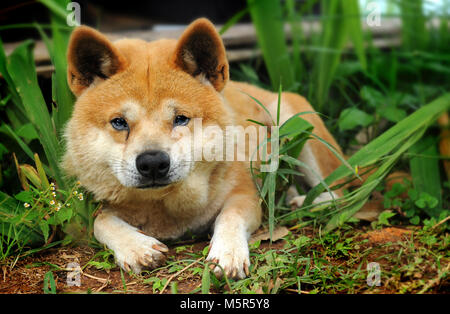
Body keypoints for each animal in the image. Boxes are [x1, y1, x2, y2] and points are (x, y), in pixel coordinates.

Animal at [63, 18, 342, 278]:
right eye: (119, 122)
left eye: (181, 119)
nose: (152, 162)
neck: (164, 206)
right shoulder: (94, 205)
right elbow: (101, 221)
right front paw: (136, 247)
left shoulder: (245, 194)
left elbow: (229, 216)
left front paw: (228, 253)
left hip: (292, 121)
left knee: (340, 191)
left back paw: (306, 202)